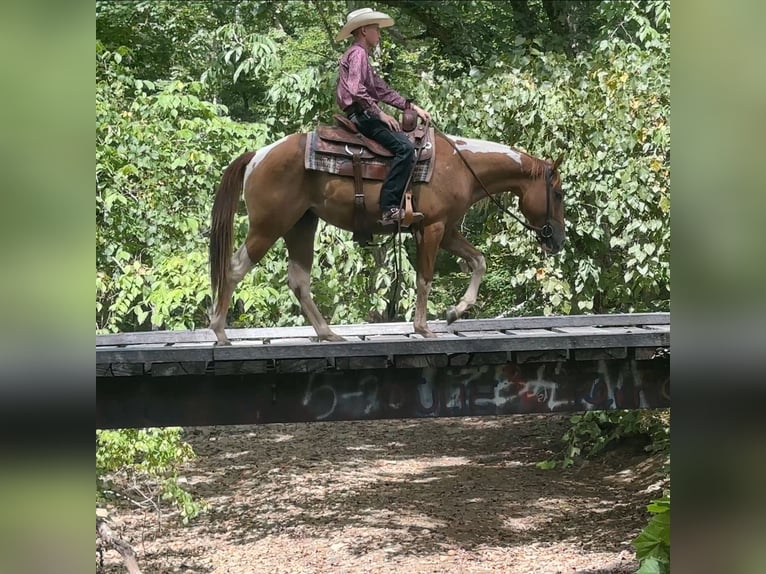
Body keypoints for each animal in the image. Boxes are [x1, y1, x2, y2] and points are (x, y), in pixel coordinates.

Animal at [208, 128, 566, 345]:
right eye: (559, 193)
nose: (558, 240)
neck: (462, 167)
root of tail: (257, 155)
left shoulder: (446, 230)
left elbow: (479, 261)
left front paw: (455, 312)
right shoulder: (433, 228)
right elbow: (425, 278)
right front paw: (423, 328)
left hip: (302, 225)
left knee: (298, 280)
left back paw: (328, 333)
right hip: (269, 226)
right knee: (234, 268)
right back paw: (220, 332)